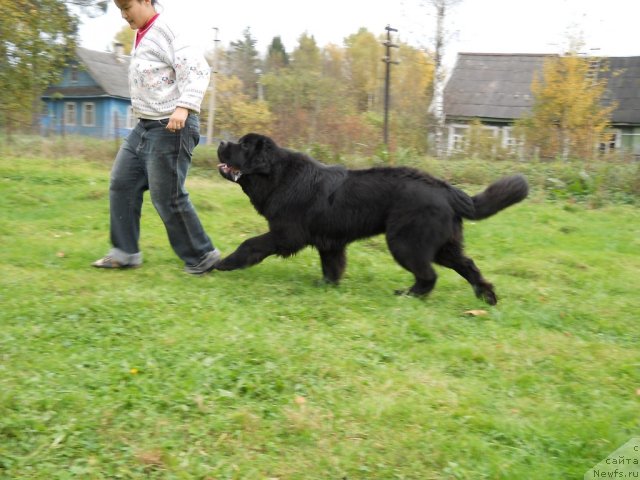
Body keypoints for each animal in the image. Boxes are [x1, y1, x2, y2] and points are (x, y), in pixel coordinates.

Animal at [218, 133, 528, 304]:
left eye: (244, 146)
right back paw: (486, 296)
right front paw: (327, 286)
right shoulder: (330, 242)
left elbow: (250, 244)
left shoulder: (286, 234)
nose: (221, 142)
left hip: (405, 242)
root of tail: (447, 189)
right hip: (443, 245)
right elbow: (332, 266)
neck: (277, 176)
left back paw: (408, 296)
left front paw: (223, 264)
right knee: (468, 265)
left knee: (429, 275)